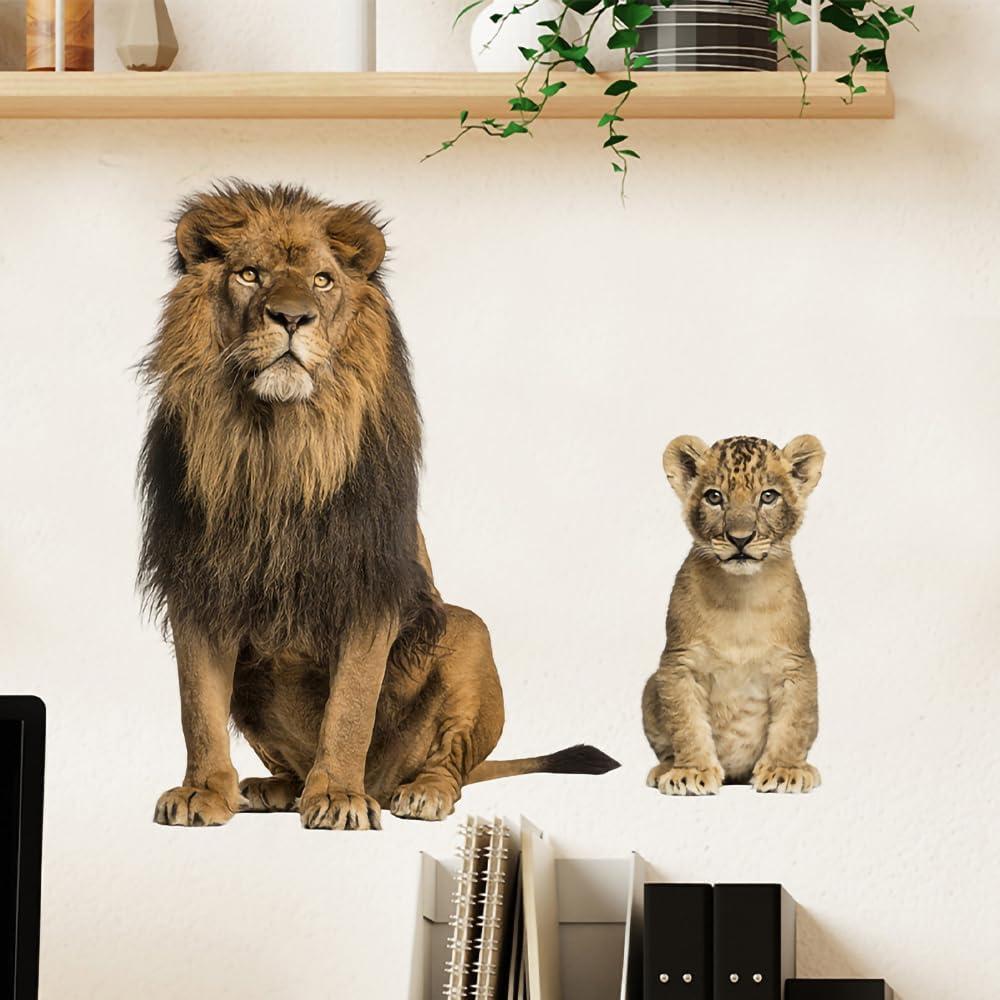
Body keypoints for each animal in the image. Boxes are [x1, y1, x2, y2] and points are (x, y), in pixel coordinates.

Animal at [139, 182, 618, 830]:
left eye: (322, 281)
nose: (292, 318)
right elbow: (197, 708)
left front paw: (339, 796)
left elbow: (351, 707)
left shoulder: (370, 587)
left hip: (469, 631)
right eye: (249, 274)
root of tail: (386, 781)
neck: (278, 444)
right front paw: (203, 791)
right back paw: (271, 788)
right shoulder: (198, 585)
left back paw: (417, 792)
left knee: (451, 763)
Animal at [642, 435, 824, 795]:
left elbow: (793, 723)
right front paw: (691, 771)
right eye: (715, 497)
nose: (741, 539)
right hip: (649, 687)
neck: (741, 596)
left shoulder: (796, 665)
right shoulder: (678, 664)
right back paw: (666, 768)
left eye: (768, 496)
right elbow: (686, 724)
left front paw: (784, 770)